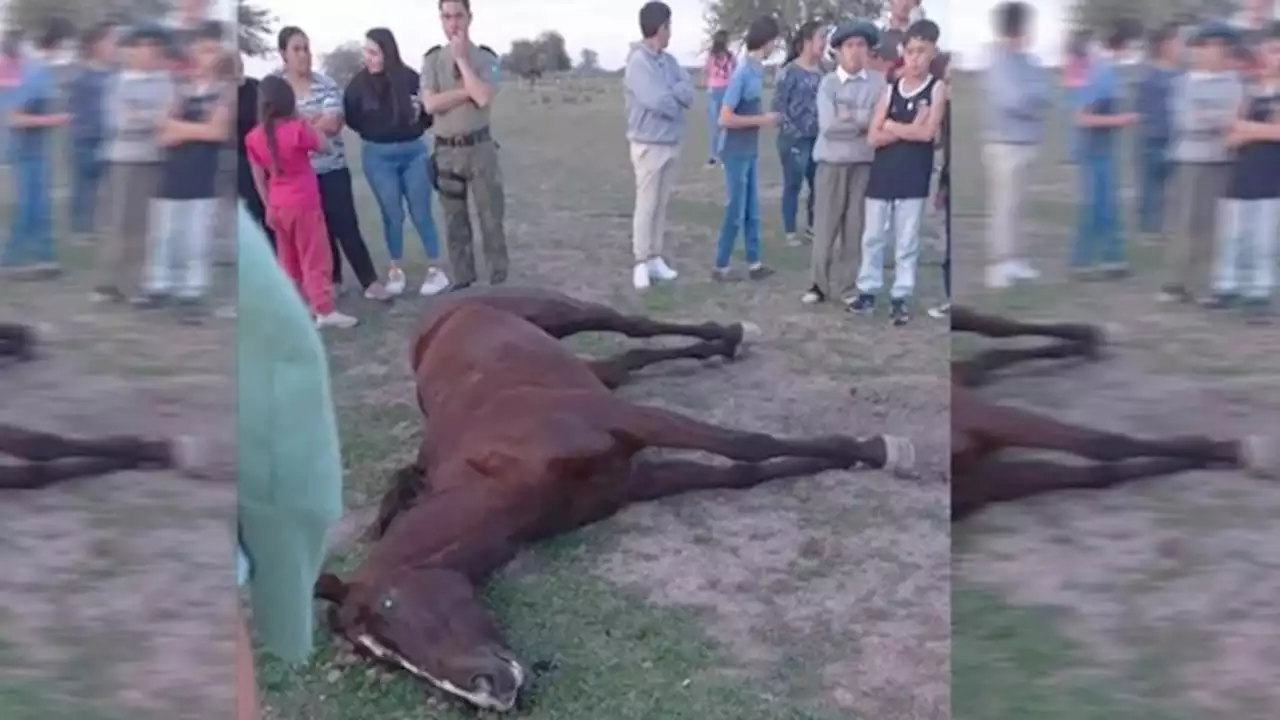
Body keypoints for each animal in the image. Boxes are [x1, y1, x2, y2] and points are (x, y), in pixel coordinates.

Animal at [313, 286, 916, 712]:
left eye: (392, 608)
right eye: (388, 661)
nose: (487, 692)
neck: (500, 472)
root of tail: (439, 314)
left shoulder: (630, 421)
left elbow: (747, 443)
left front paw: (877, 450)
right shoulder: (638, 480)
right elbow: (743, 473)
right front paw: (839, 460)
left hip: (558, 314)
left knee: (627, 323)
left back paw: (730, 332)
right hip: (592, 371)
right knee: (630, 358)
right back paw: (720, 345)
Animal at [947, 304, 1274, 517]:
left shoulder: (988, 418)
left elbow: (1102, 445)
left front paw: (1228, 450)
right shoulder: (984, 483)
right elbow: (1102, 473)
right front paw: (1201, 457)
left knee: (989, 325)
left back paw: (1085, 336)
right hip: (966, 381)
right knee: (985, 360)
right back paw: (1082, 344)